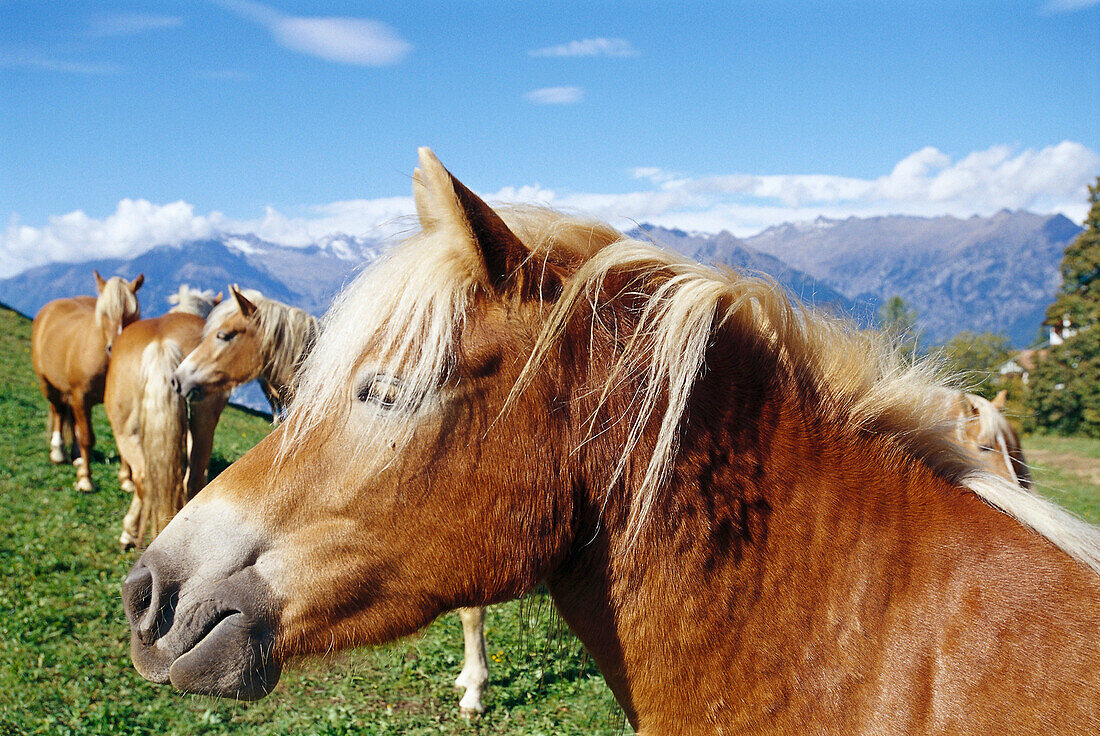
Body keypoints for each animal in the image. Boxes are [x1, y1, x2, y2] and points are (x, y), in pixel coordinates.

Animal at [31, 269, 143, 488]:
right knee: (58, 411)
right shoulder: (81, 397)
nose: (116, 346)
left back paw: (76, 456)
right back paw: (58, 452)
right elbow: (86, 438)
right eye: (105, 313)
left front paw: (126, 479)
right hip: (48, 385)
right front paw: (85, 479)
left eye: (132, 314)